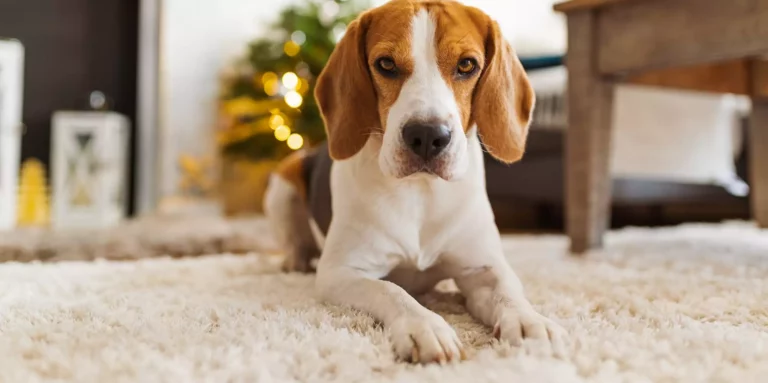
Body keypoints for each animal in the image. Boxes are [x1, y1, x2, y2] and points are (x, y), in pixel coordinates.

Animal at [264, 0, 564, 366]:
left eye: (467, 64)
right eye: (386, 64)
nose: (427, 135)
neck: (421, 193)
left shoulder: (483, 268)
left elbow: (509, 292)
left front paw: (528, 322)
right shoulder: (341, 272)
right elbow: (392, 291)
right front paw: (425, 327)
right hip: (284, 180)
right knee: (295, 240)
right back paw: (294, 261)